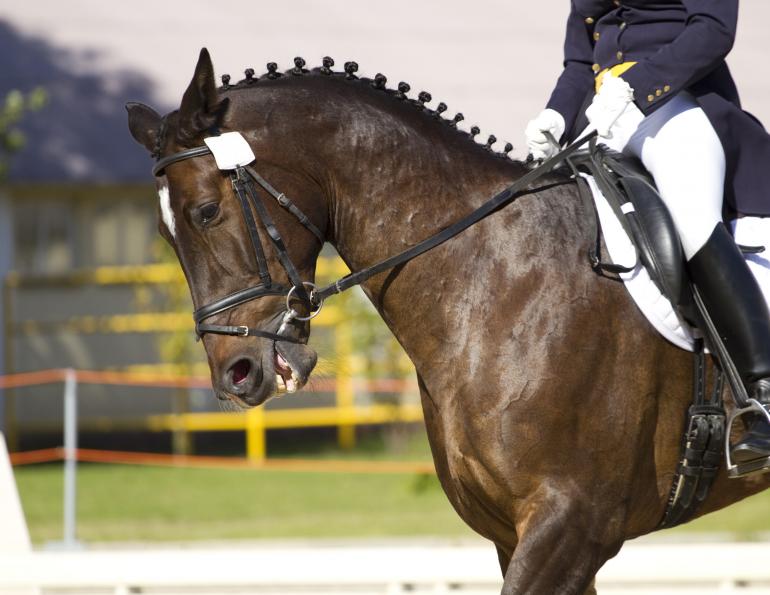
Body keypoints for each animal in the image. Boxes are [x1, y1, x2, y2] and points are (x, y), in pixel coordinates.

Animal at [126, 49, 770, 594]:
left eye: (207, 212)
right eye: (164, 233)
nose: (235, 373)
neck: (493, 280)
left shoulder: (572, 524)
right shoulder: (516, 534)